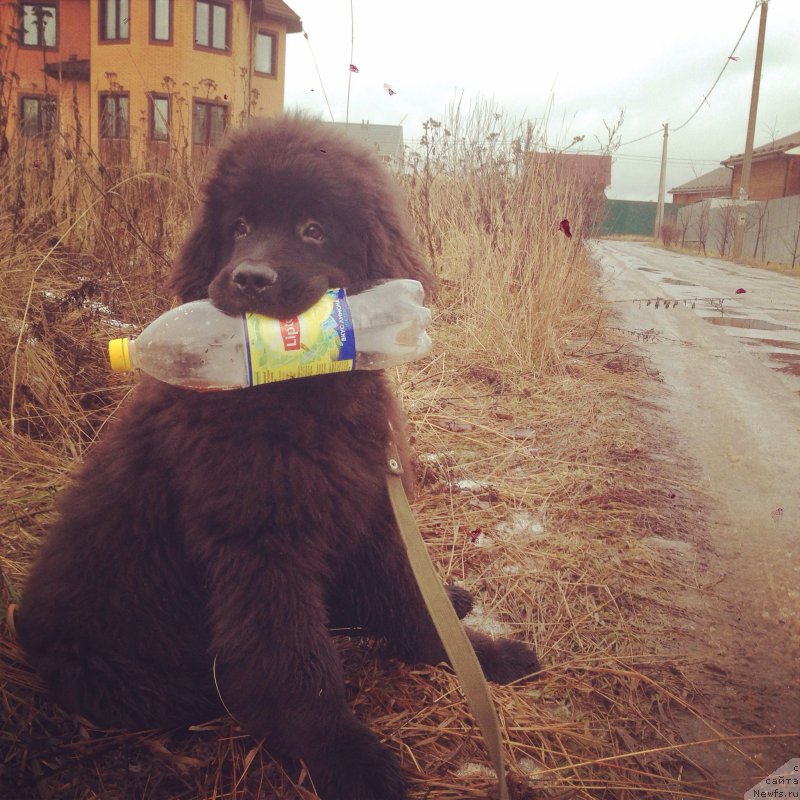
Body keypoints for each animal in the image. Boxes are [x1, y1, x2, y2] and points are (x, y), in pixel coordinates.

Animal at [18, 115, 540, 796]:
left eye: (312, 229)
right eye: (239, 227)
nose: (249, 279)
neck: (294, 395)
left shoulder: (368, 504)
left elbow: (406, 601)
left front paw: (481, 653)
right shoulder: (262, 545)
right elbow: (297, 665)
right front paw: (347, 759)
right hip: (119, 671)